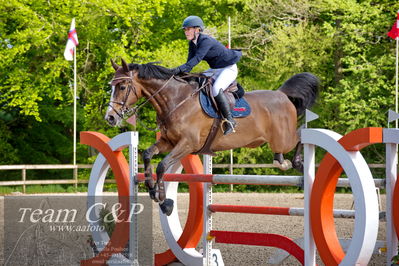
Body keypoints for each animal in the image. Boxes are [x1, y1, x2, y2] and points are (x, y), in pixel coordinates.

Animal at [104, 58, 320, 216]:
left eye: (122, 86)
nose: (110, 118)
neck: (176, 100)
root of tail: (282, 95)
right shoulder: (168, 142)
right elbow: (148, 155)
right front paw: (150, 189)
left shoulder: (187, 144)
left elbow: (162, 166)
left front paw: (164, 202)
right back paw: (281, 160)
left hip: (285, 138)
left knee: (300, 135)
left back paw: (294, 162)